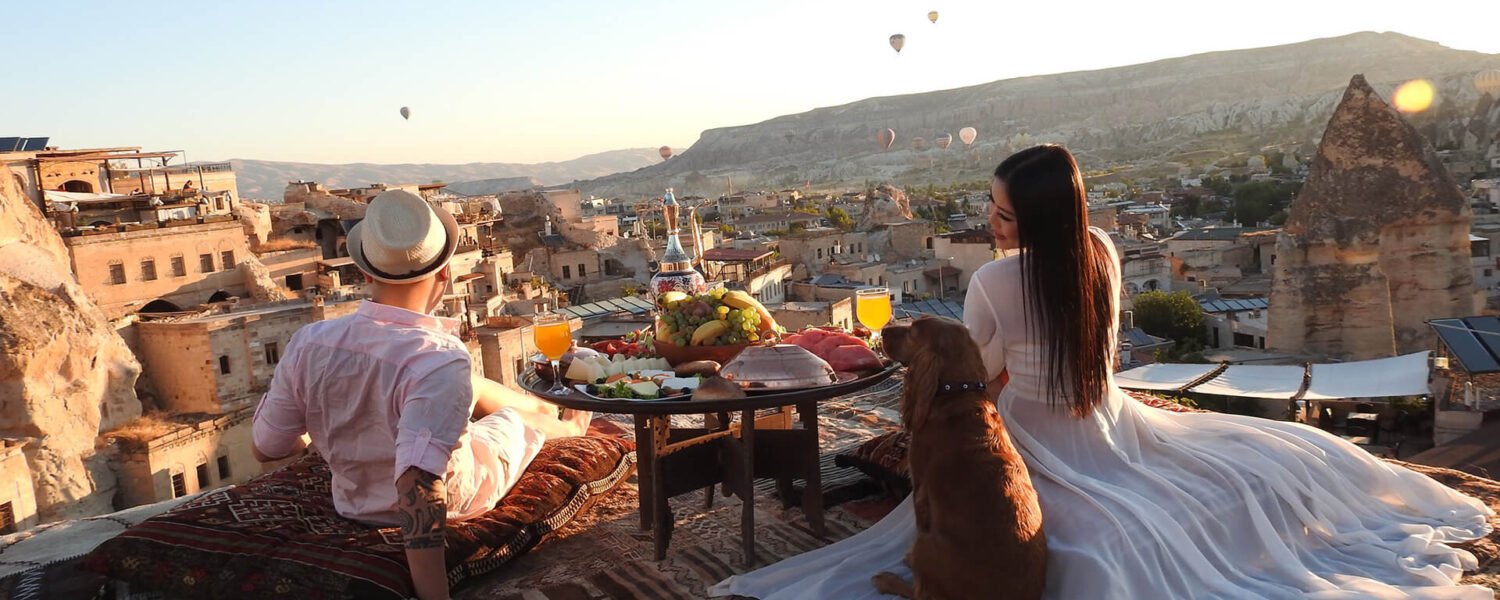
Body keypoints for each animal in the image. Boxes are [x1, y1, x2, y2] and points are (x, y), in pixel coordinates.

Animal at [876, 316, 1050, 597]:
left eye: (912, 332)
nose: (882, 331)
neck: (959, 392)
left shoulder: (919, 488)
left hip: (926, 542)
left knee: (919, 592)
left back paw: (888, 579)